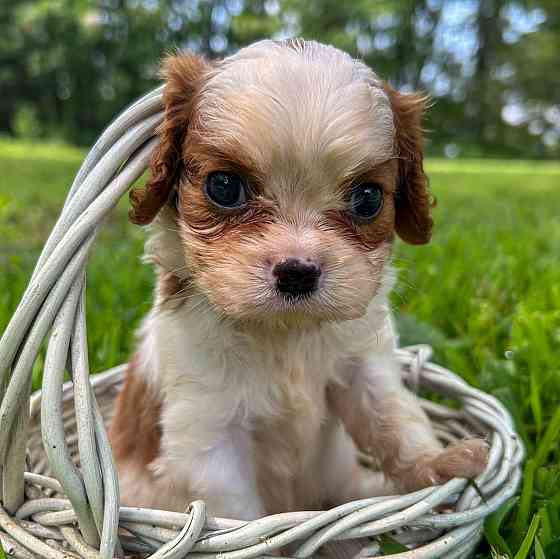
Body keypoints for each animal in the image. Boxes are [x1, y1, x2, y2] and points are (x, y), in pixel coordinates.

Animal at [108, 39, 486, 520]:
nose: (297, 272)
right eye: (224, 187)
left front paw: (437, 465)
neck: (286, 333)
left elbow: (393, 417)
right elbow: (242, 517)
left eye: (368, 198)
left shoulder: (364, 366)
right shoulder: (208, 436)